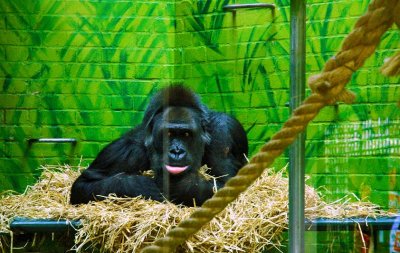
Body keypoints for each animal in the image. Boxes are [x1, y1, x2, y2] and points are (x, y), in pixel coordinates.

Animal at [70, 84, 248, 207]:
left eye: (186, 134)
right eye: (167, 134)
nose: (177, 151)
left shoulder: (222, 132)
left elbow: (228, 182)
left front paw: (183, 185)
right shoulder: (125, 150)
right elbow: (83, 185)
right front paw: (136, 185)